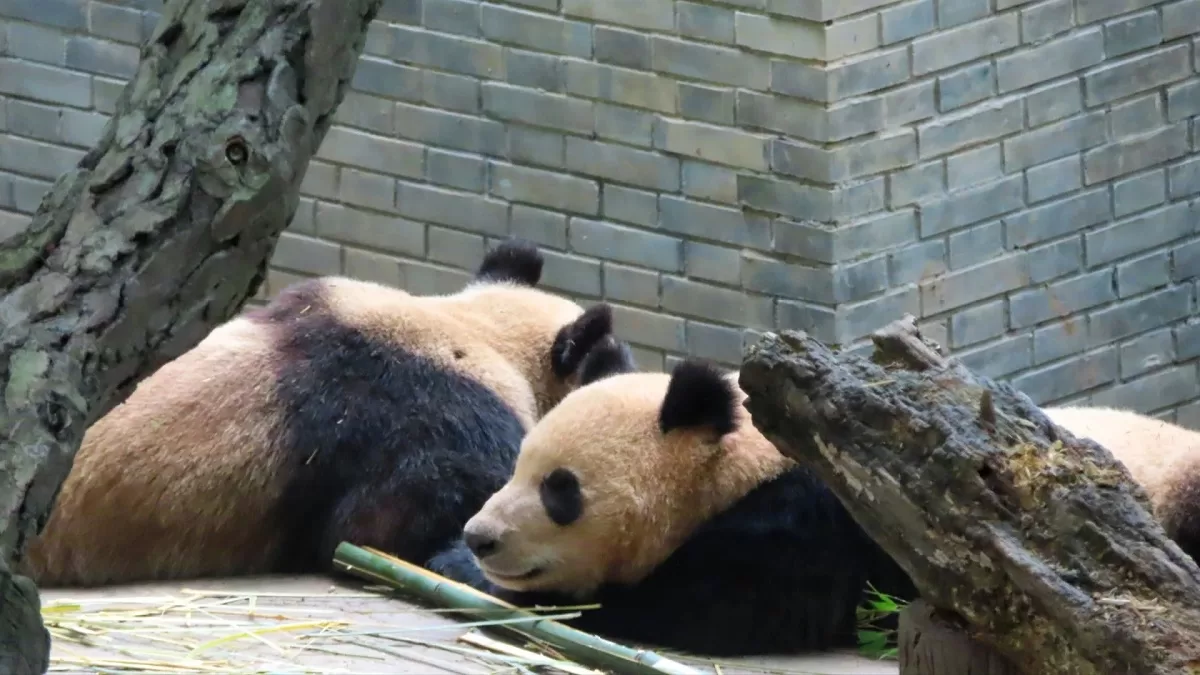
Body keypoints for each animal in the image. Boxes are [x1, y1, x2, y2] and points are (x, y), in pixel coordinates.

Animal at [429, 344, 919, 656]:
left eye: (560, 489)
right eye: (518, 467)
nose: (481, 538)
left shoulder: (796, 530)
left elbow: (705, 607)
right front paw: (452, 560)